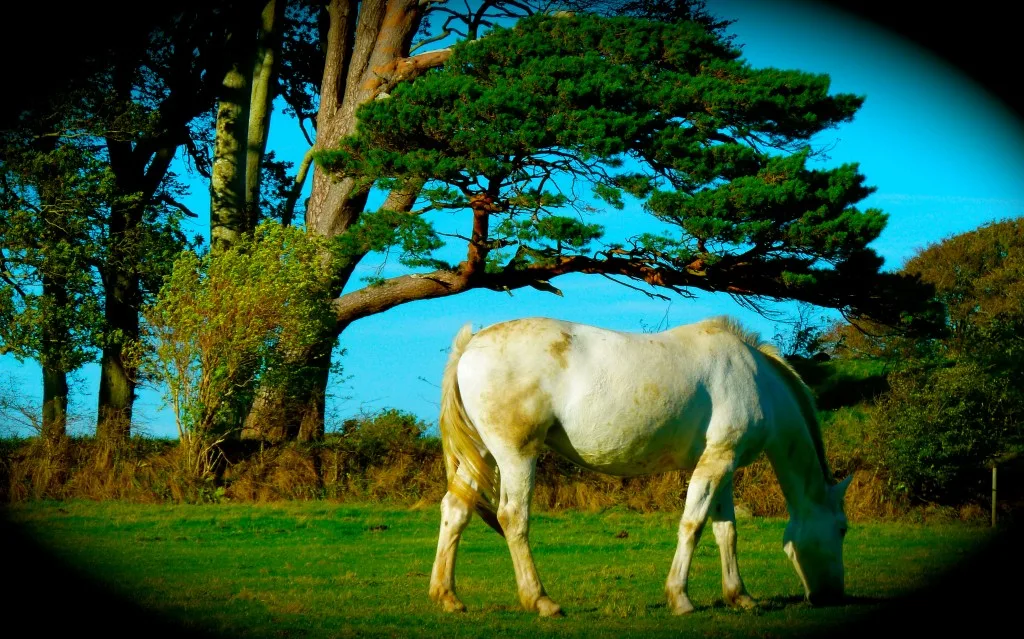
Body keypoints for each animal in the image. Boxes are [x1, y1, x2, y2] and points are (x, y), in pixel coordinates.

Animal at [428, 317, 851, 618]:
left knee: (456, 511)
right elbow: (693, 524)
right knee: (513, 517)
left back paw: (447, 597)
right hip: (516, 455)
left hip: (481, 454)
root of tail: (471, 344)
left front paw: (740, 596)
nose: (833, 597)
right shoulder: (717, 461)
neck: (756, 379)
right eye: (842, 529)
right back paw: (541, 600)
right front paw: (680, 598)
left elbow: (726, 531)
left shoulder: (722, 465)